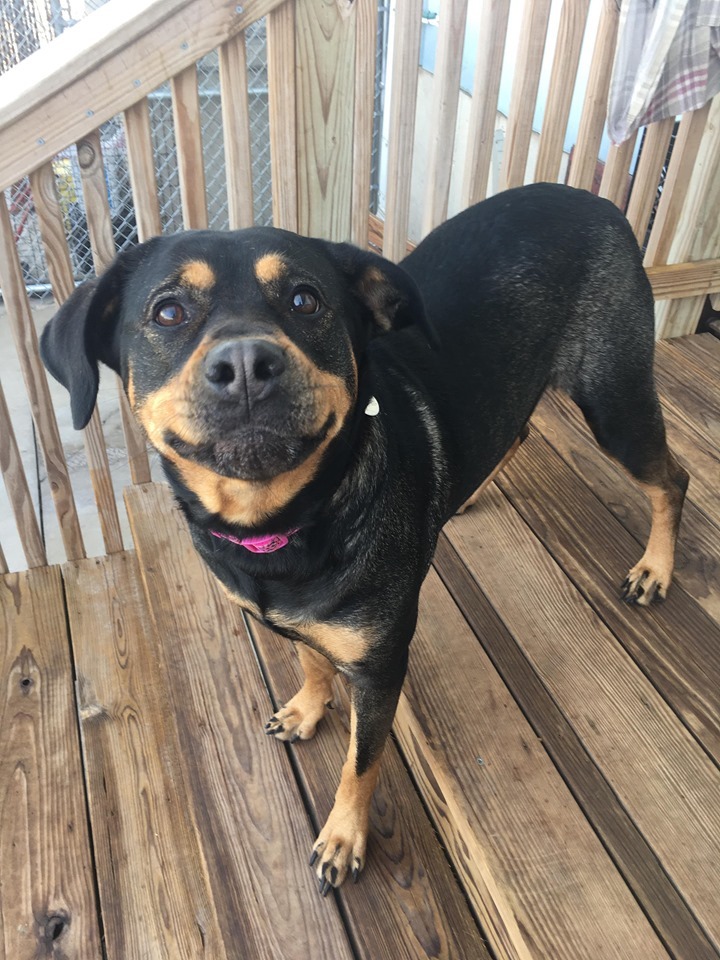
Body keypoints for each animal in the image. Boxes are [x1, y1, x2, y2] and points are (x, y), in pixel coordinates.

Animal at [40, 186, 692, 892]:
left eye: (305, 300)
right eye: (168, 312)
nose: (245, 364)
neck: (283, 526)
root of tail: (599, 201)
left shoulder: (381, 667)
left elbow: (361, 760)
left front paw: (343, 837)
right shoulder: (300, 623)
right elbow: (310, 656)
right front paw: (306, 707)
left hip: (614, 398)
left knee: (672, 479)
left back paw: (655, 568)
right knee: (517, 430)